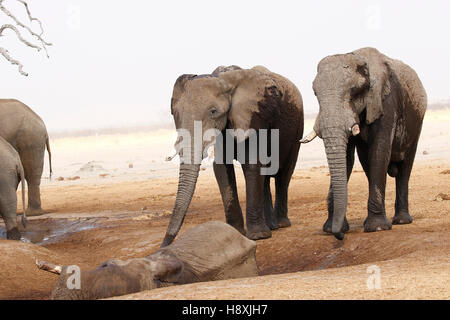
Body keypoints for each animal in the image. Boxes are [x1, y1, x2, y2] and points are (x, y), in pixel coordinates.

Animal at [160, 64, 304, 245]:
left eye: (213, 111)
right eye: (174, 113)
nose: (163, 245)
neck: (224, 80)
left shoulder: (253, 117)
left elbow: (252, 164)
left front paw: (258, 237)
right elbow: (221, 167)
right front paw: (236, 232)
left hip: (297, 129)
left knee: (284, 175)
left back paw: (282, 224)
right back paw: (272, 227)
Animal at [300, 47, 428, 240]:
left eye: (355, 91)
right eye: (315, 93)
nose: (340, 235)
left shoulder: (386, 102)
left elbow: (379, 152)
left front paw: (378, 228)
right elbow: (347, 159)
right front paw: (330, 229)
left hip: (416, 123)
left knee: (405, 167)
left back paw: (401, 221)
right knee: (368, 164)